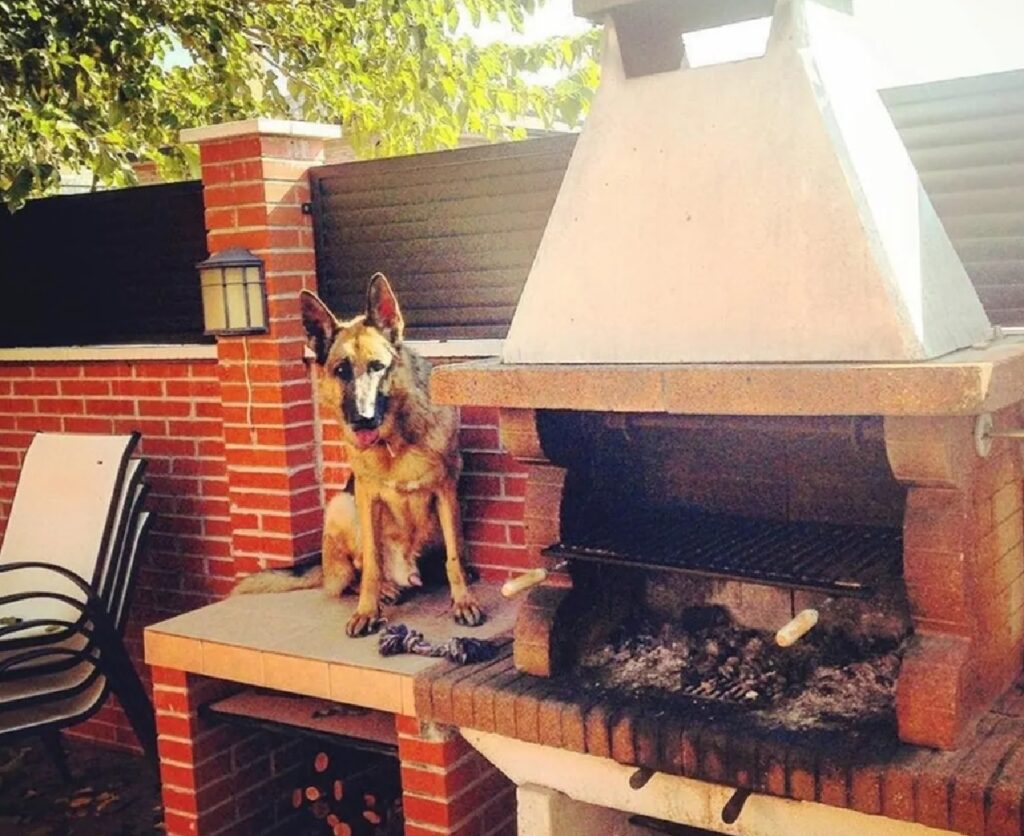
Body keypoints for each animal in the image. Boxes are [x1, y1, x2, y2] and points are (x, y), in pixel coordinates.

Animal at [235, 272, 483, 635]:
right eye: (342, 370)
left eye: (378, 367)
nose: (363, 418)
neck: (395, 443)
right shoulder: (366, 495)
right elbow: (371, 566)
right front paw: (368, 610)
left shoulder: (446, 490)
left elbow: (454, 556)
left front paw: (463, 601)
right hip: (341, 505)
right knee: (353, 573)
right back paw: (385, 590)